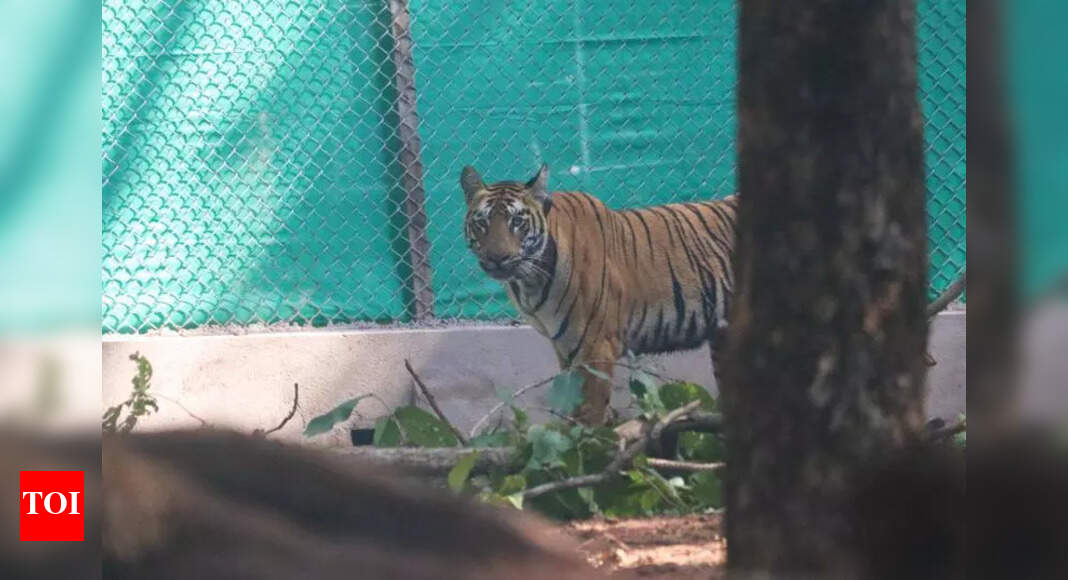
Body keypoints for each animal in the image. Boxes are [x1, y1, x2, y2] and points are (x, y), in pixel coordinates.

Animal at [461, 164, 738, 426]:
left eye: (517, 222)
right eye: (482, 223)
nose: (497, 258)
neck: (529, 282)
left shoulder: (595, 348)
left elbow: (590, 415)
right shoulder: (565, 349)